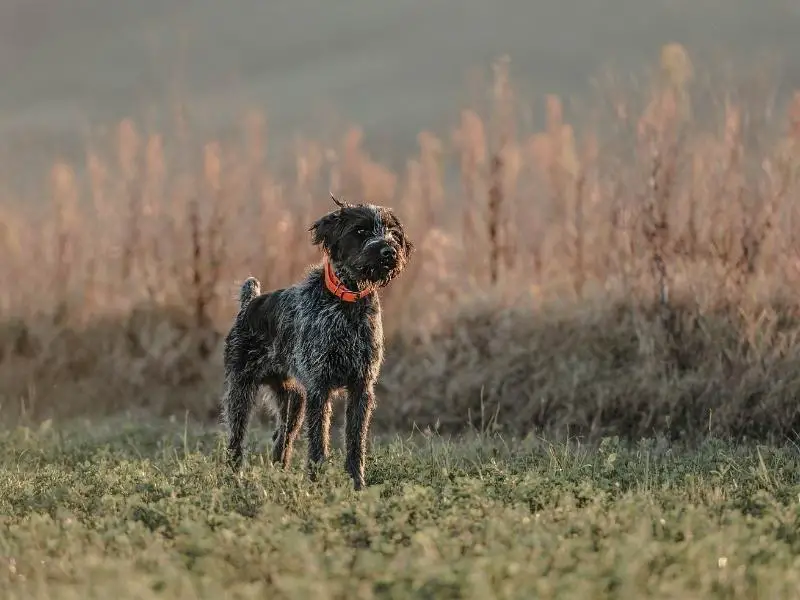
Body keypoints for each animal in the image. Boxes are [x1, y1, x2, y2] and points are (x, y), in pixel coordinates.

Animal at [222, 195, 416, 490]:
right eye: (360, 231)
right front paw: (316, 485)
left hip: (294, 400)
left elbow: (355, 443)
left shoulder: (360, 388)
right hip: (241, 390)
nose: (389, 252)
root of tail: (249, 303)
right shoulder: (319, 388)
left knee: (282, 437)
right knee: (236, 439)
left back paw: (279, 474)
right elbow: (318, 443)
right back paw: (234, 479)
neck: (348, 305)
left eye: (393, 233)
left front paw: (357, 485)